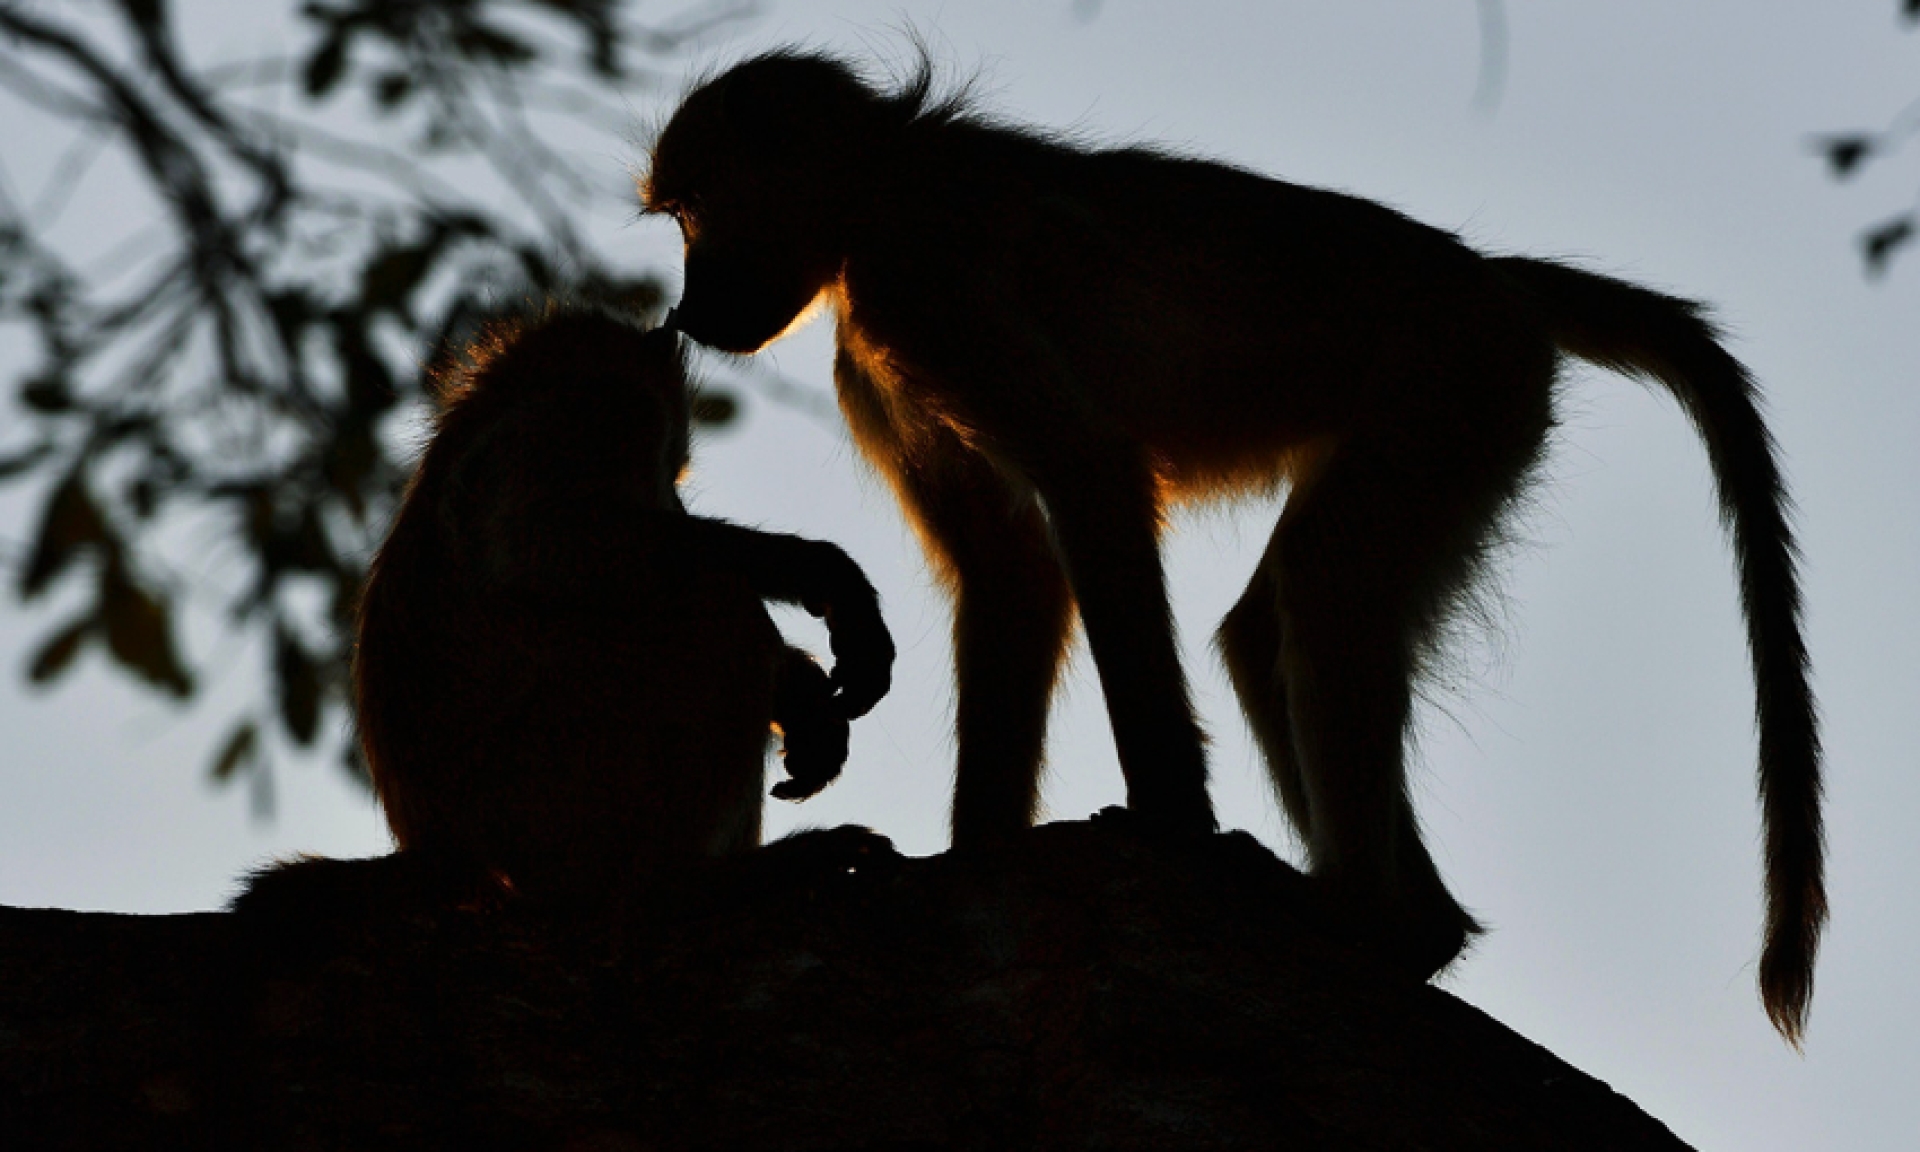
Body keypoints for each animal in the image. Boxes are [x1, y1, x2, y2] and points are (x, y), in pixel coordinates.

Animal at [236, 305, 894, 917]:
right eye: (664, 468)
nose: (674, 501)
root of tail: (458, 857)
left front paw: (802, 691)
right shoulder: (597, 415)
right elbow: (547, 539)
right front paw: (816, 571)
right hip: (556, 795)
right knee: (713, 603)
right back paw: (680, 885)